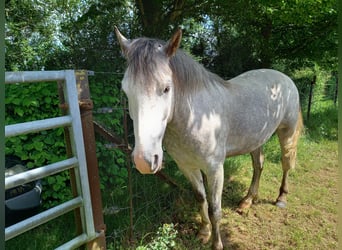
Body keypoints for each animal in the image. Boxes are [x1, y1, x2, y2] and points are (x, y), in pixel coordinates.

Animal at [115, 27, 302, 250]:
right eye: (126, 91)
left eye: (166, 88)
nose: (144, 160)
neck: (195, 118)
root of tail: (285, 79)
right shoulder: (187, 166)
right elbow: (200, 198)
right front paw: (204, 232)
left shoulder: (215, 169)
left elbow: (215, 209)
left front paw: (216, 243)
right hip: (256, 139)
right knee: (259, 166)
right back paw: (246, 202)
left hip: (287, 133)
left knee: (286, 163)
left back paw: (281, 198)